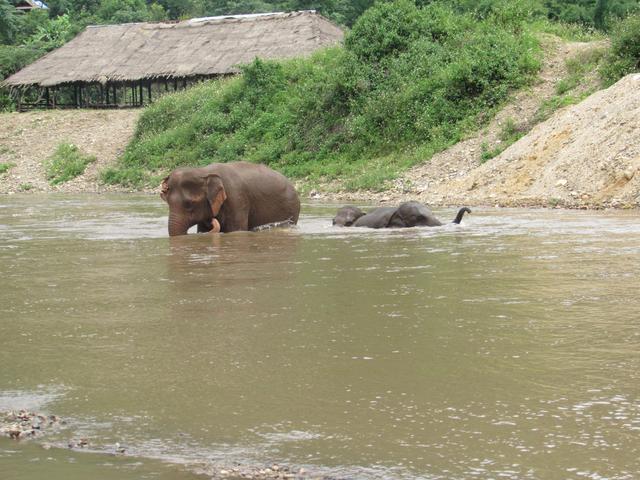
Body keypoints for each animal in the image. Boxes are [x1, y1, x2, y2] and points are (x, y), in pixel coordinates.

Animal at [160, 162, 300, 235]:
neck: (203, 171)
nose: (212, 220)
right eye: (168, 203)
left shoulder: (237, 199)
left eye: (189, 204)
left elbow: (236, 230)